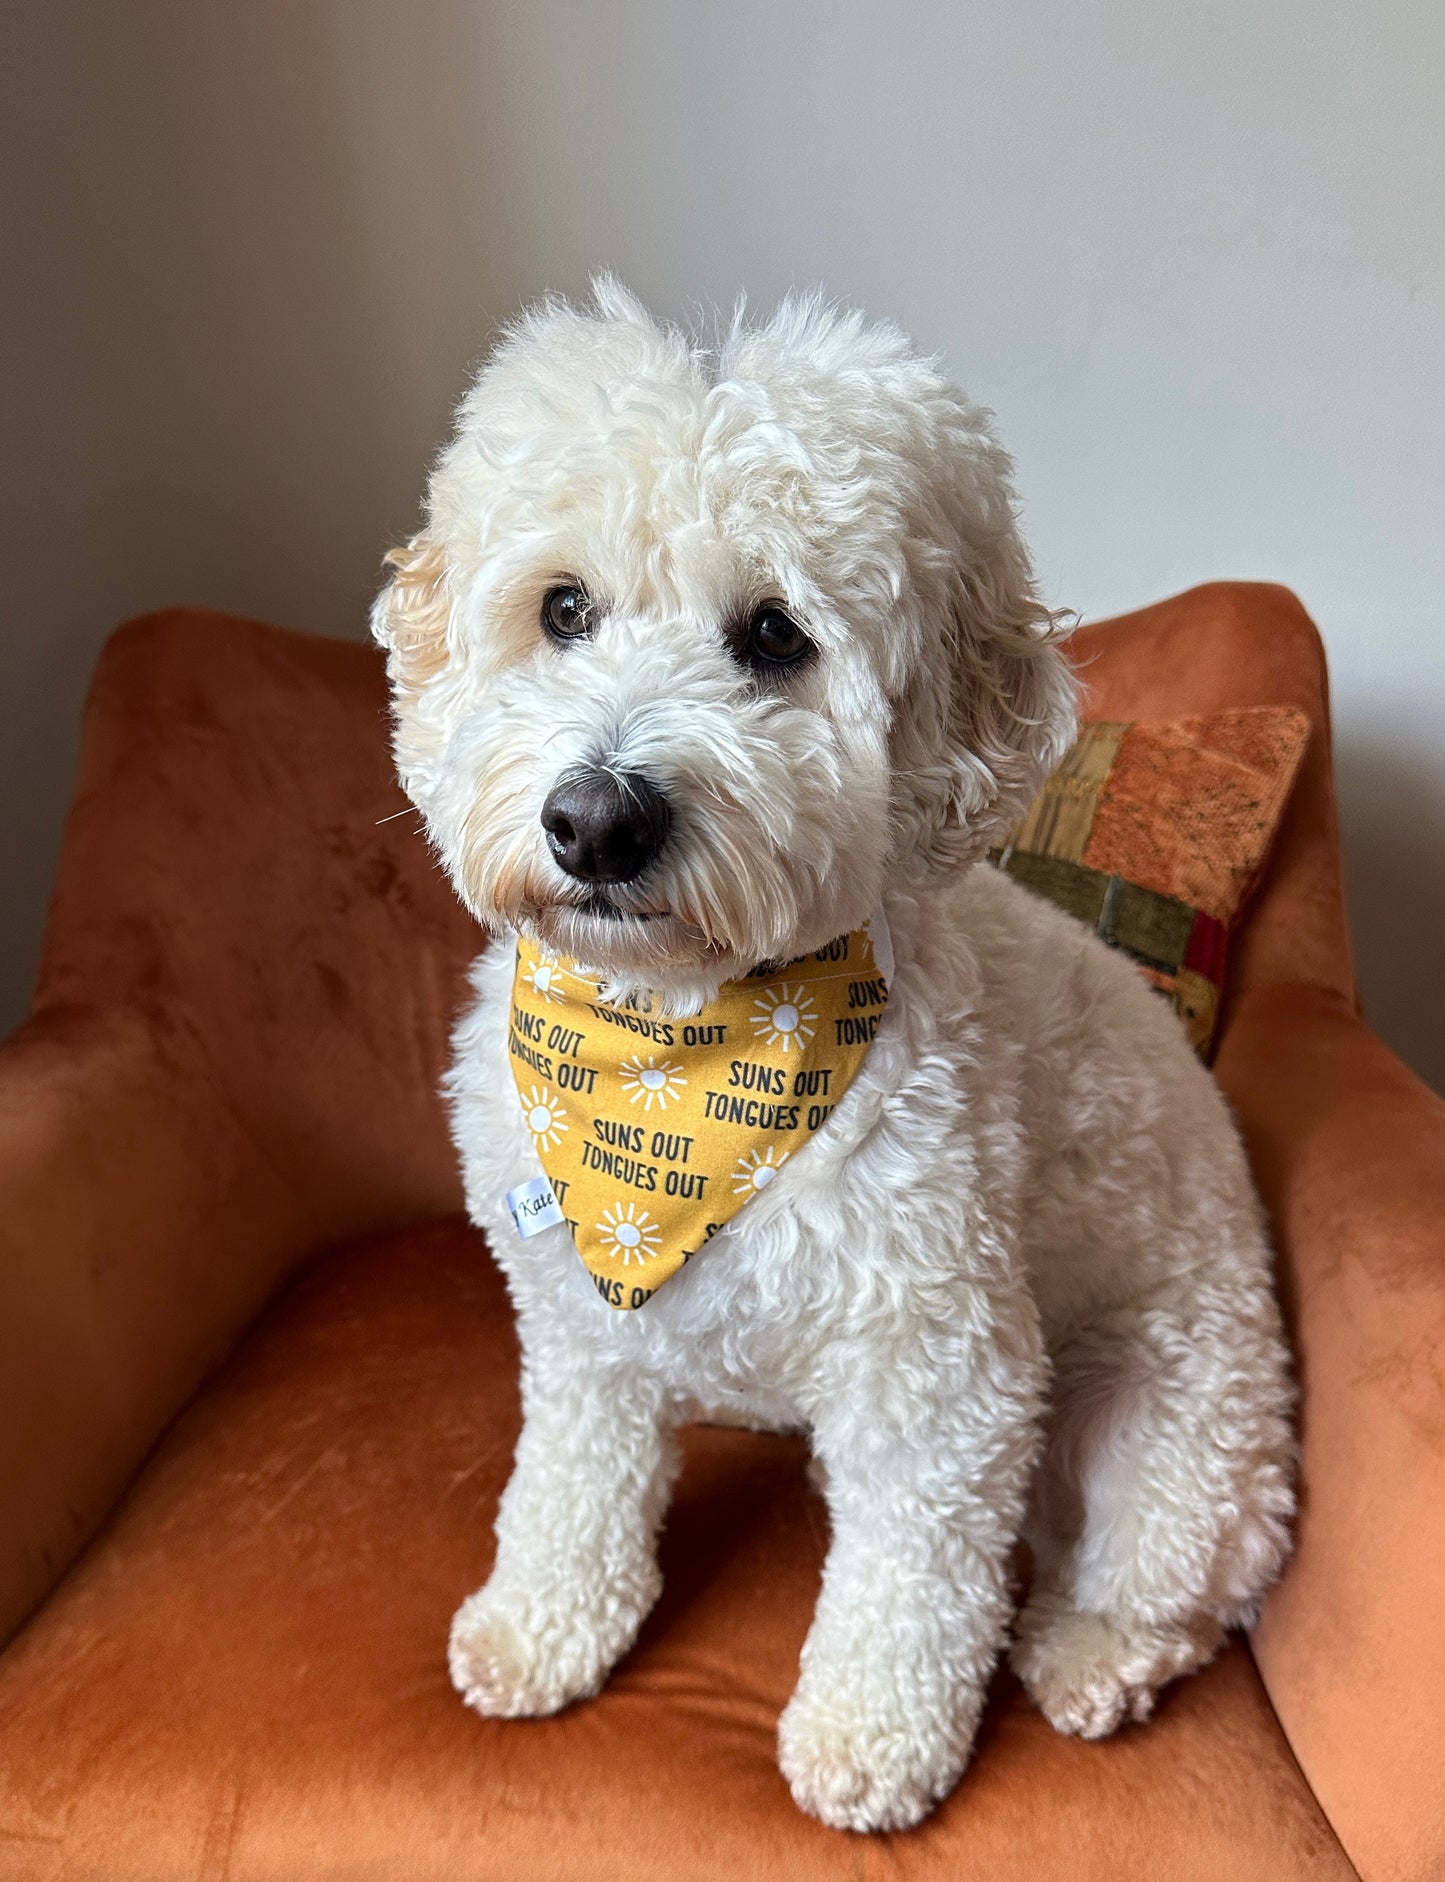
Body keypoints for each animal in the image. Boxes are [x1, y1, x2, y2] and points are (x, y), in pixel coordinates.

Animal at [372, 286, 1294, 1829]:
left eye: (772, 634)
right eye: (562, 609)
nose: (596, 820)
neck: (680, 1047)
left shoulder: (943, 1376)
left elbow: (910, 1586)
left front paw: (873, 1740)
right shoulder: (578, 1327)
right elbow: (571, 1483)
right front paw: (543, 1624)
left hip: (1174, 1421)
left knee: (1173, 1585)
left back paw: (1089, 1653)